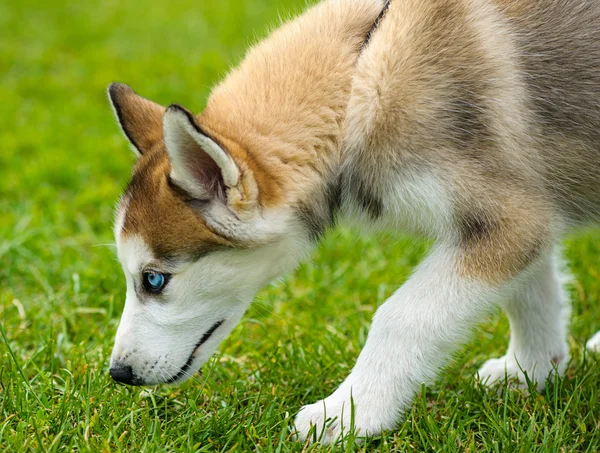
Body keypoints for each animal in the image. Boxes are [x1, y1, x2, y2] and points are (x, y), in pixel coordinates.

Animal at [105, 0, 600, 444]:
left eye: (153, 280)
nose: (118, 373)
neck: (356, 80)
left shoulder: (511, 218)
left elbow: (401, 317)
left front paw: (347, 415)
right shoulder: (528, 212)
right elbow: (531, 291)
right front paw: (531, 370)